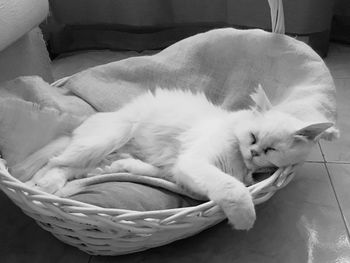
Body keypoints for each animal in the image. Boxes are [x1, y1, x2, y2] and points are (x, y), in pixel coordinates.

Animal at [25, 86, 334, 231]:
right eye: (253, 138)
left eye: (271, 150)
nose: (254, 153)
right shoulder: (193, 163)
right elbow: (233, 188)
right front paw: (244, 218)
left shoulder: (176, 170)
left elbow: (152, 171)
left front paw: (126, 167)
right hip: (104, 139)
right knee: (54, 164)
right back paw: (40, 188)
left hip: (98, 154)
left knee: (75, 170)